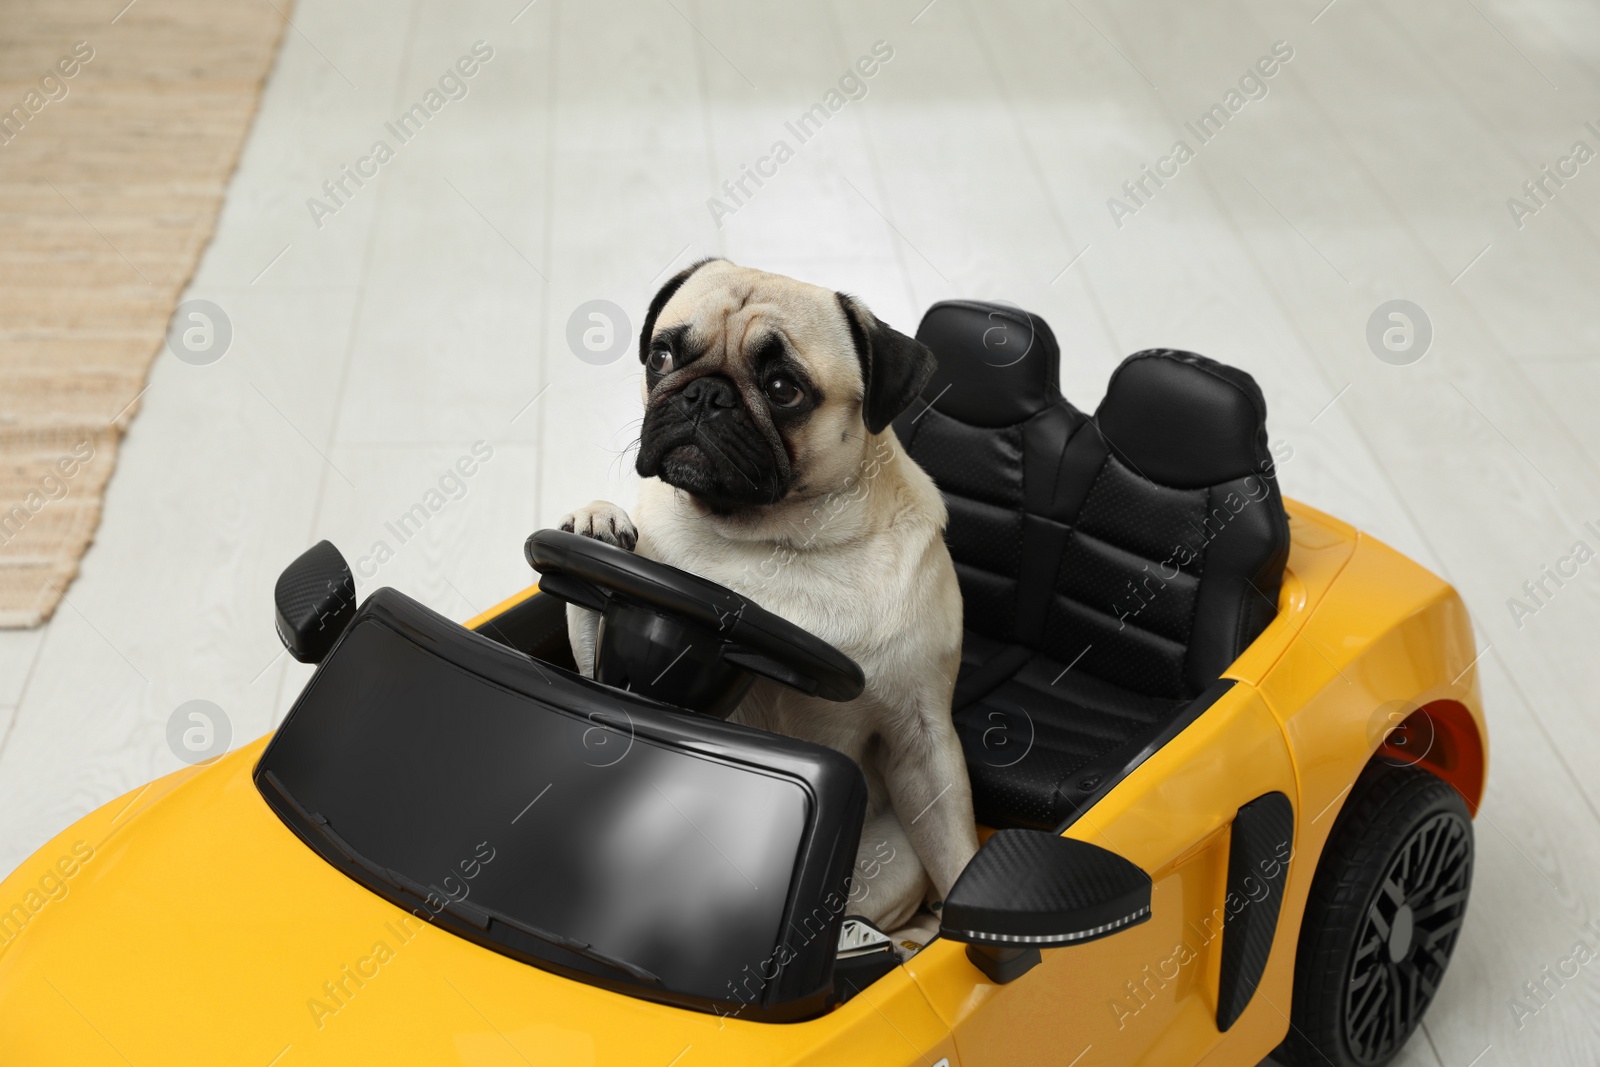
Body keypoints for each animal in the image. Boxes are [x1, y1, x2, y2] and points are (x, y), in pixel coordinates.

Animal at [563, 260, 979, 953]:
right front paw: (596, 517)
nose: (704, 395)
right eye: (662, 355)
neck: (770, 540)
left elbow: (958, 853)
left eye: (784, 389)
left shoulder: (922, 738)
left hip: (892, 858)